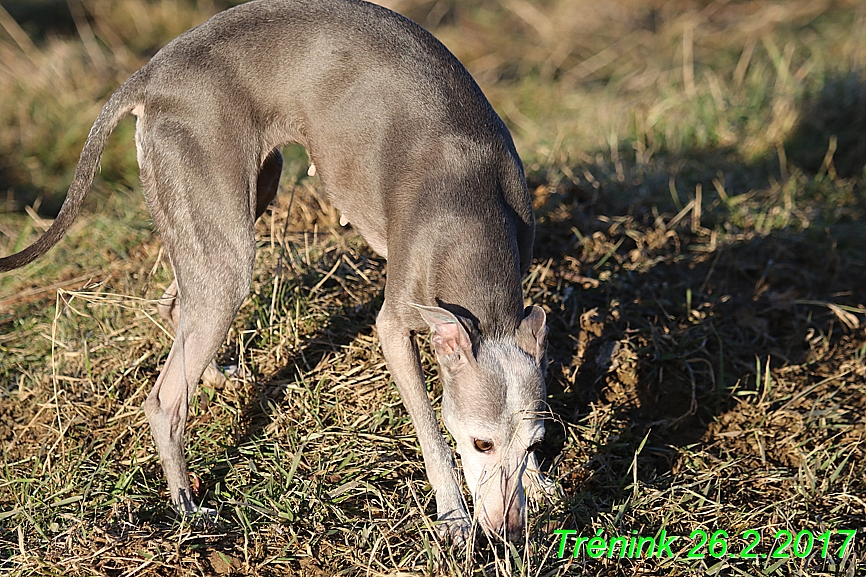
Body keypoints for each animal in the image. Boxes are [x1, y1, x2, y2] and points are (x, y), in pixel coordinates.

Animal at [0, 0, 552, 544]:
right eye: (480, 443)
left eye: (533, 443)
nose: (509, 531)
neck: (470, 206)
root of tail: (153, 74)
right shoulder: (393, 325)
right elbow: (430, 429)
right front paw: (454, 516)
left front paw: (540, 485)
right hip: (228, 240)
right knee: (164, 400)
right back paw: (187, 507)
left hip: (242, 202)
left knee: (179, 307)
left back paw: (216, 377)